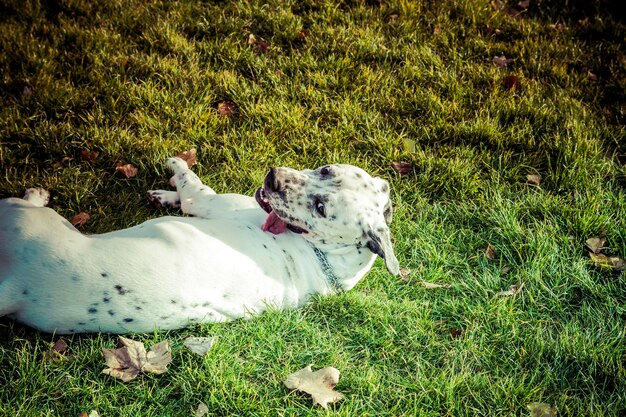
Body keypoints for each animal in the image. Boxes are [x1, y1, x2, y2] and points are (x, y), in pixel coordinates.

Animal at [0, 158, 400, 334]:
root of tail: (16, 288)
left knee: (19, 202)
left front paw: (176, 168)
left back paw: (34, 194)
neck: (325, 256)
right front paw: (164, 195)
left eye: (321, 208)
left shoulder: (207, 201)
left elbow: (191, 184)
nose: (273, 178)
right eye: (327, 170)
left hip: (30, 217)